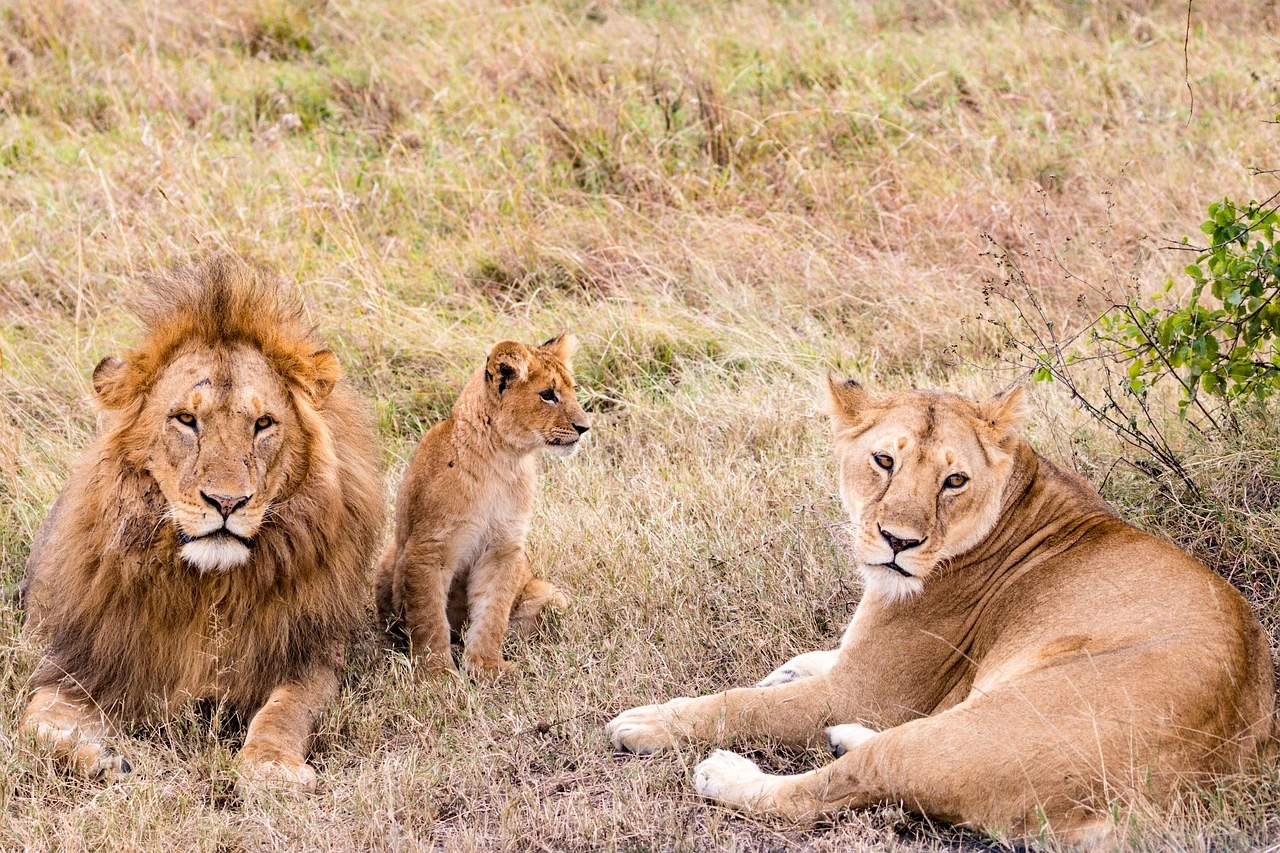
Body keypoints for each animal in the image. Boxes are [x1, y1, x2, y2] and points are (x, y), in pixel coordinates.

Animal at [17, 255, 383, 792]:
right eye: (186, 420)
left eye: (263, 424)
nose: (227, 502)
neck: (208, 589)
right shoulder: (84, 662)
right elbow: (33, 727)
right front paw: (101, 759)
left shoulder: (310, 654)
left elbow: (285, 710)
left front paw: (270, 767)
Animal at [375, 334, 589, 677]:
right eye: (548, 395)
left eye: (573, 390)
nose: (585, 427)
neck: (501, 460)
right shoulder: (427, 548)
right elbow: (428, 617)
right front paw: (437, 675)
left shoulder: (504, 548)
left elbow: (493, 612)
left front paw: (486, 667)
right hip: (390, 557)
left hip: (551, 596)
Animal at [607, 379, 1276, 845]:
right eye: (884, 460)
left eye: (954, 480)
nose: (898, 541)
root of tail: (1185, 800)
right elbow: (817, 656)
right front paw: (789, 668)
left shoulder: (867, 692)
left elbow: (742, 704)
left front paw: (650, 721)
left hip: (974, 732)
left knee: (832, 788)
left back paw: (727, 773)